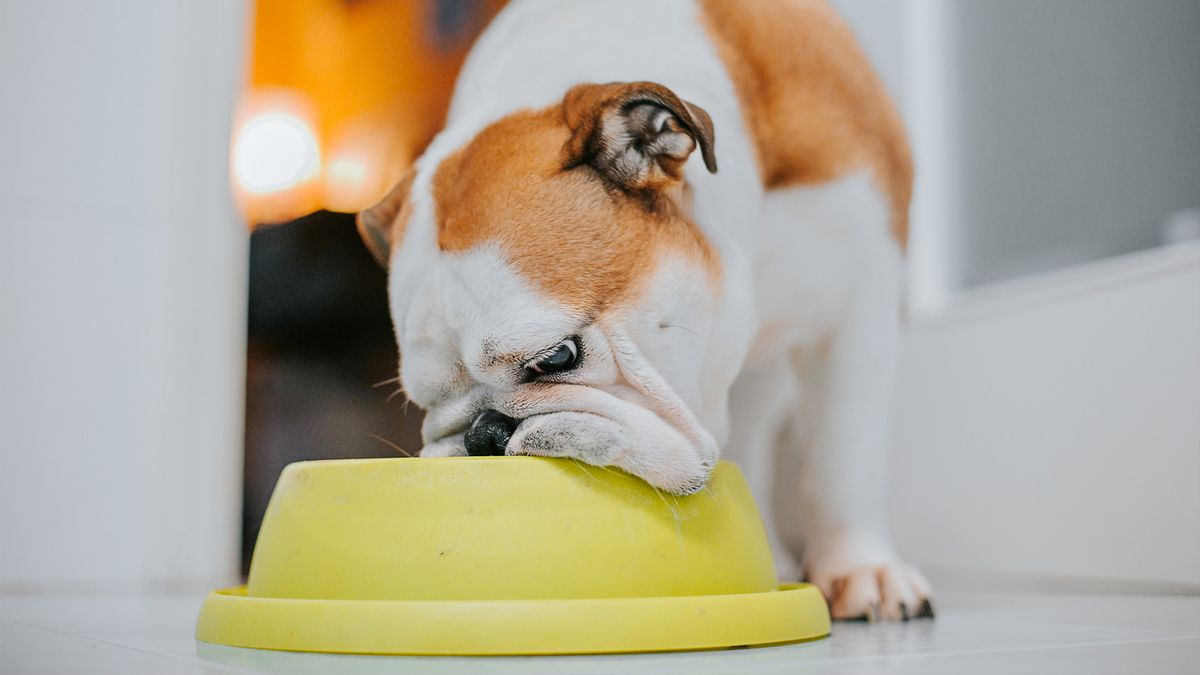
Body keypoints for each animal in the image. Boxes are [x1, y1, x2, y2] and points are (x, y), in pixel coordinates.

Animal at [352, 0, 926, 619]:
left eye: (557, 357)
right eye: (424, 404)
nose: (484, 434)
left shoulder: (858, 307)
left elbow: (845, 455)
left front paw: (862, 568)